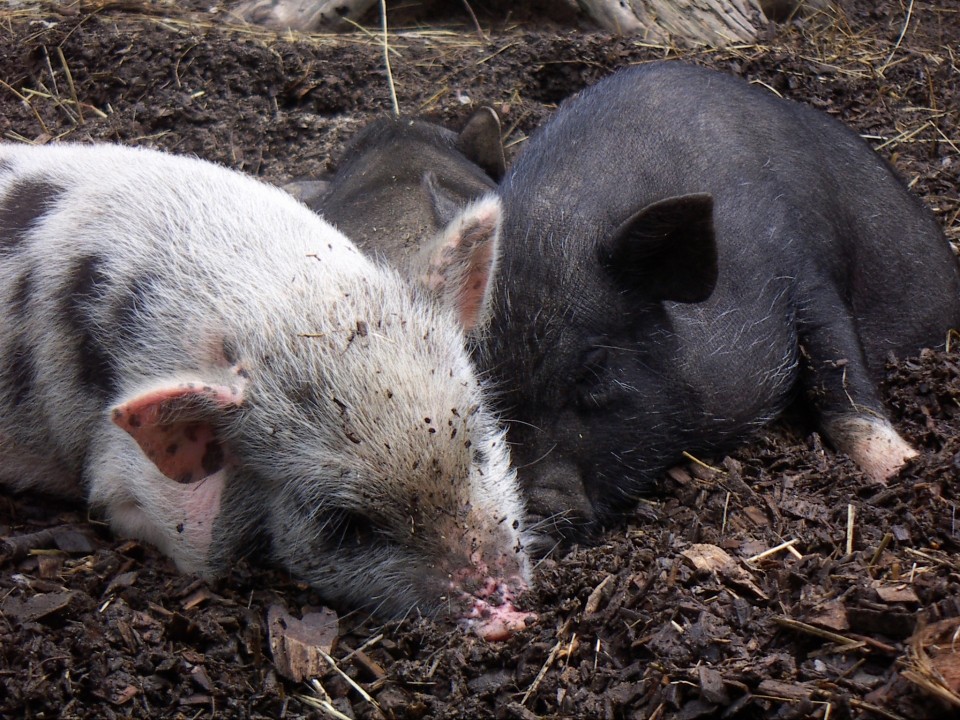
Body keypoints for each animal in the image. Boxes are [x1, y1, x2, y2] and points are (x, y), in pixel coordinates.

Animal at [422, 60, 960, 536]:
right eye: (475, 376)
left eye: (593, 367)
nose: (526, 513)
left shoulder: (804, 263)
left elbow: (842, 380)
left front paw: (906, 467)